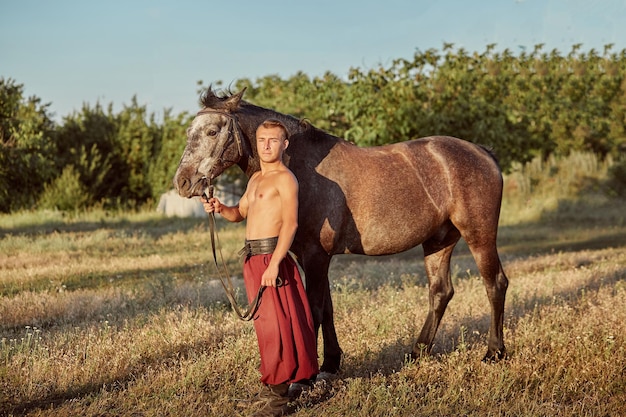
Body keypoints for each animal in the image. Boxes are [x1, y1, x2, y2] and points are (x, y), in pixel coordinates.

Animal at [172, 88, 508, 374]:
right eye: (188, 133)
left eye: (212, 131)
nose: (183, 182)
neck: (303, 169)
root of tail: (484, 153)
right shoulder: (313, 258)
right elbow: (328, 310)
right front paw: (331, 363)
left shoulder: (316, 256)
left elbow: (315, 311)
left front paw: (309, 376)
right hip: (439, 241)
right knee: (440, 292)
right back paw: (417, 352)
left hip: (479, 236)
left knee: (495, 284)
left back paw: (494, 352)